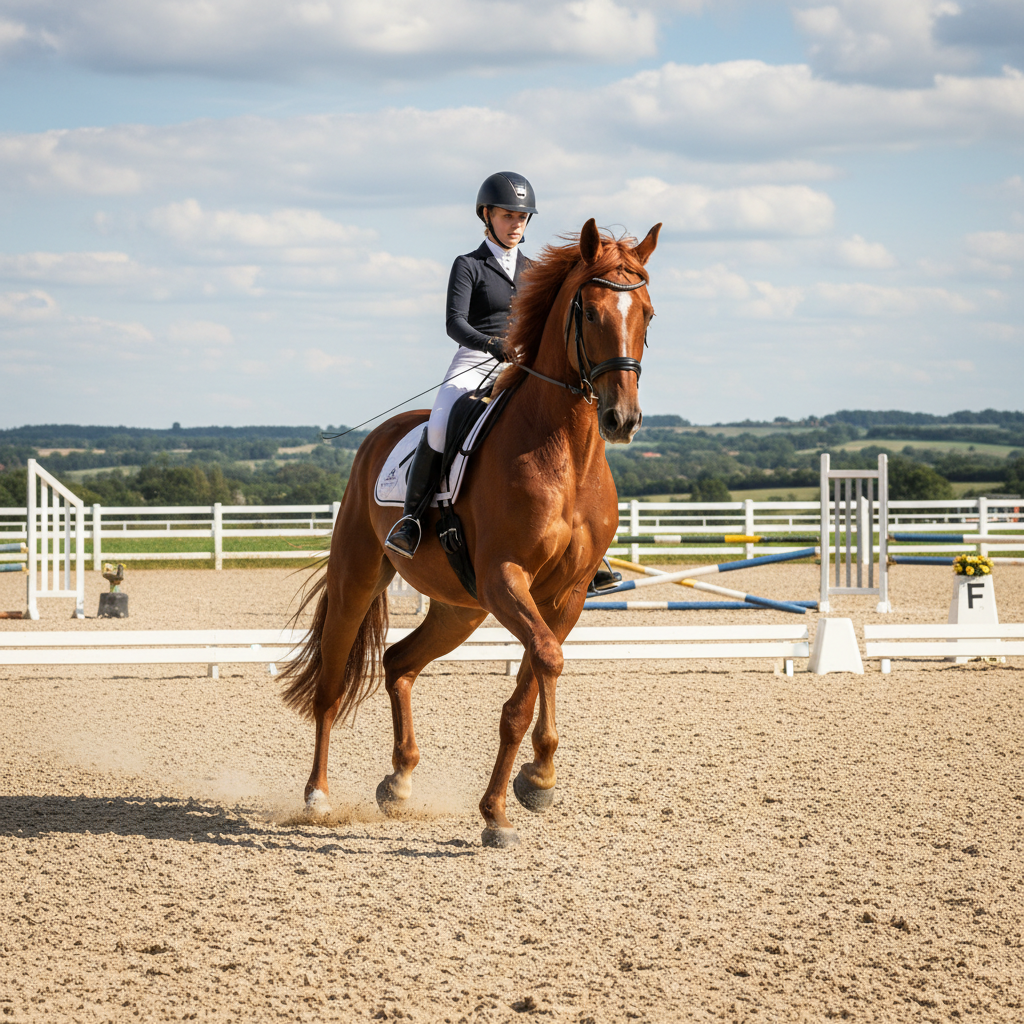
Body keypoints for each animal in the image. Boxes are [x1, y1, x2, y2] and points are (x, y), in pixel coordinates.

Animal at [282, 217, 661, 848]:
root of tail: (378, 437)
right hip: (359, 577)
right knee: (332, 684)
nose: (621, 419)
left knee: (398, 662)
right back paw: (316, 796)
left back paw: (399, 781)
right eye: (589, 312)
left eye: (648, 315)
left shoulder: (566, 594)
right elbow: (544, 664)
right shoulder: (506, 577)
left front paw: (535, 783)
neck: (566, 453)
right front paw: (502, 809)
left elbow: (538, 674)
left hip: (460, 609)